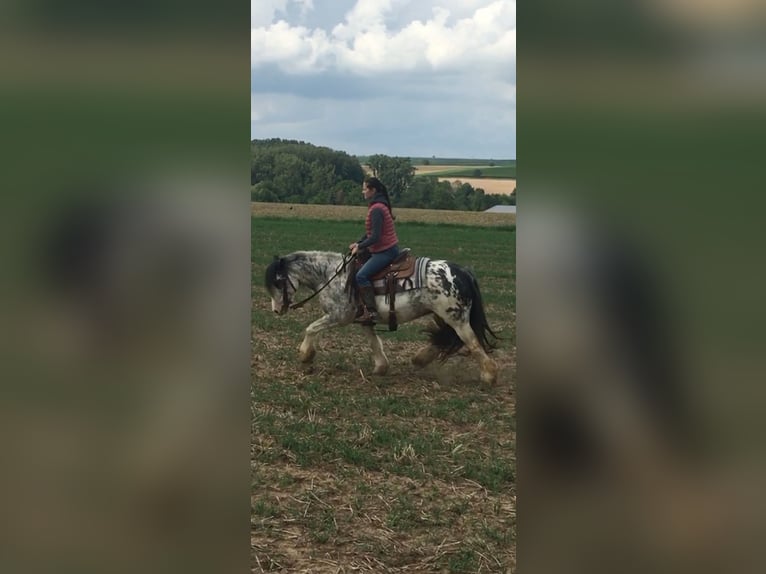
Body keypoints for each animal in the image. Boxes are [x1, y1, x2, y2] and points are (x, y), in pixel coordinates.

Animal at [268, 252, 500, 388]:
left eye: (278, 283)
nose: (276, 310)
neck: (331, 275)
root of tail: (464, 272)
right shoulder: (364, 320)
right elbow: (374, 343)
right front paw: (381, 367)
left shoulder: (339, 316)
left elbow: (311, 328)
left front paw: (305, 355)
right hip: (448, 316)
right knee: (449, 338)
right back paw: (420, 359)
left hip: (457, 319)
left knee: (472, 343)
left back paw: (489, 376)